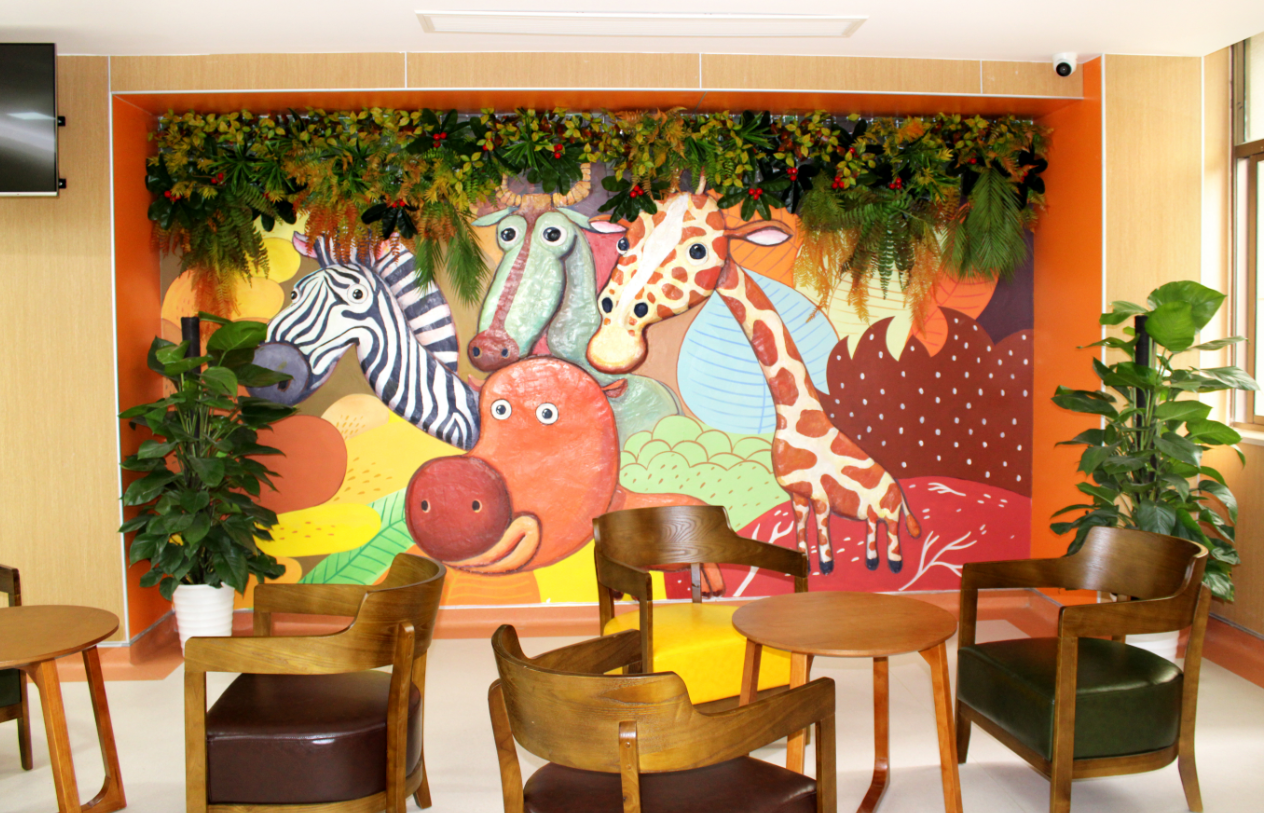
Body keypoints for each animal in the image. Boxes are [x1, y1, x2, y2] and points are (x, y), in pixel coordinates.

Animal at [585, 189, 921, 574]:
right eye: (622, 242)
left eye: (698, 250)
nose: (611, 347)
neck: (799, 419)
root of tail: (900, 493)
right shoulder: (798, 496)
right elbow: (801, 534)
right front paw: (804, 562)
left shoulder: (820, 496)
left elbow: (823, 536)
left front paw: (825, 568)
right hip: (873, 512)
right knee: (871, 528)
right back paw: (870, 561)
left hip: (890, 511)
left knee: (892, 534)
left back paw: (892, 565)